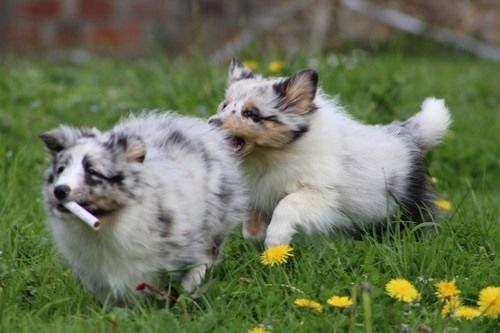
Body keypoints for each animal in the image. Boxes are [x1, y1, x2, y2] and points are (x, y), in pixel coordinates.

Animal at [41, 112, 248, 304]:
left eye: (92, 171)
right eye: (61, 169)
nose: (59, 191)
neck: (107, 224)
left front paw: (182, 298)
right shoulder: (92, 267)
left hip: (215, 222)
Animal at [209, 59, 452, 246]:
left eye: (250, 113)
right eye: (224, 106)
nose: (211, 122)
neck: (270, 156)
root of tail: (408, 134)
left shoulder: (319, 193)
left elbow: (286, 205)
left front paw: (276, 241)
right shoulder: (259, 193)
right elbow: (251, 226)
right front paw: (258, 235)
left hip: (409, 204)